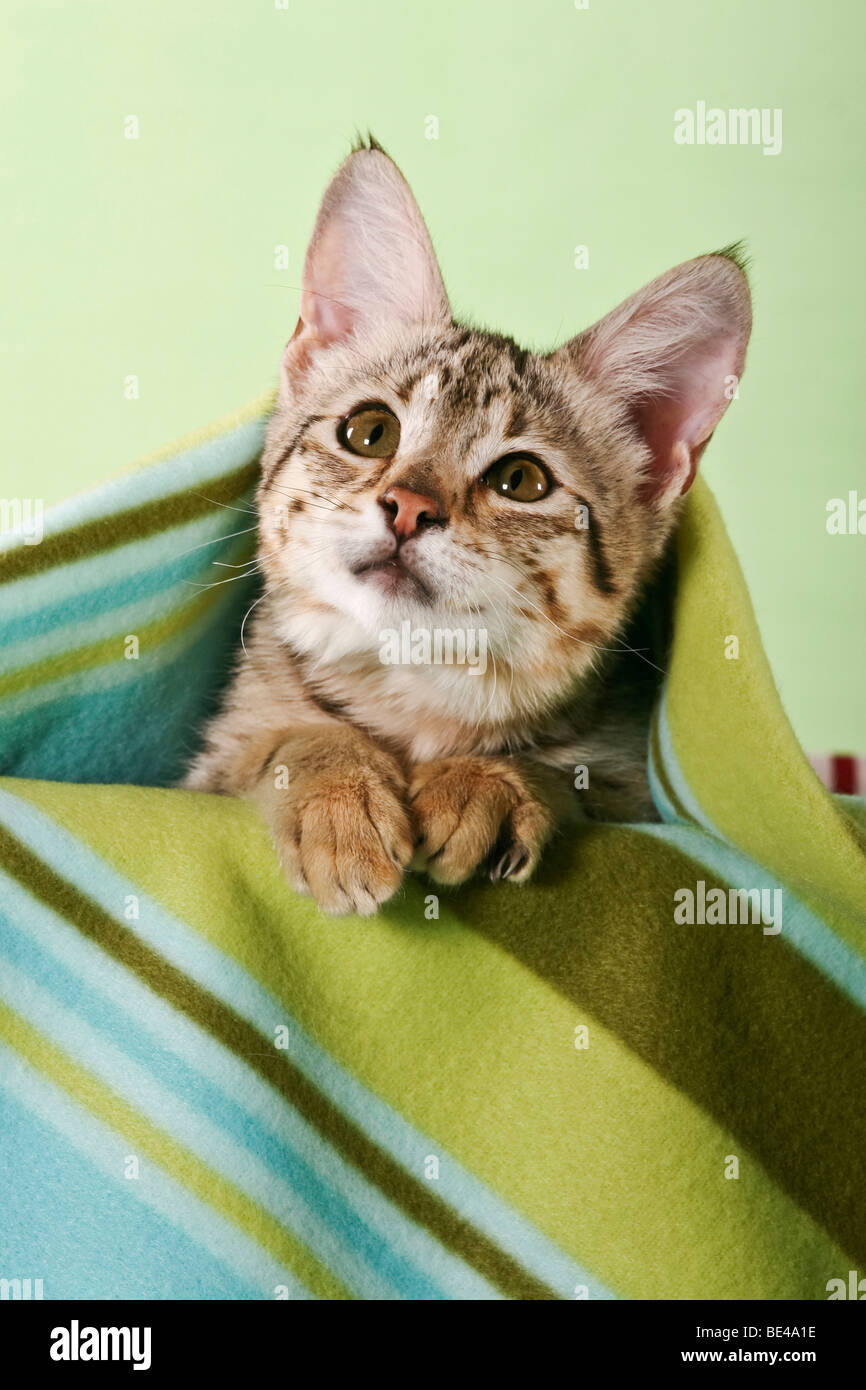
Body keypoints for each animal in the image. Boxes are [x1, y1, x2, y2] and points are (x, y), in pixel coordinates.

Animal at [184, 135, 750, 917]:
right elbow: (284, 741)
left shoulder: (636, 793)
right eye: (370, 432)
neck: (410, 695)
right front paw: (339, 793)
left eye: (522, 481)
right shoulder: (211, 764)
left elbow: (571, 777)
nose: (408, 506)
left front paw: (488, 781)